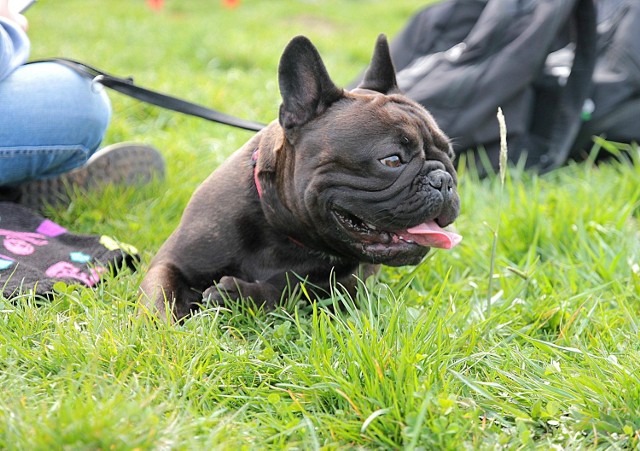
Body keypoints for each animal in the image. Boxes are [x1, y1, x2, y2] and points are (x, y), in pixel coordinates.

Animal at [140, 35, 460, 322]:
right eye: (392, 160)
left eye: (451, 155)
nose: (443, 180)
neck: (283, 233)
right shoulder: (170, 262)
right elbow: (160, 300)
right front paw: (171, 335)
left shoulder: (347, 286)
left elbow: (292, 291)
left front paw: (238, 294)